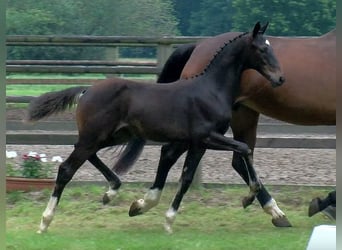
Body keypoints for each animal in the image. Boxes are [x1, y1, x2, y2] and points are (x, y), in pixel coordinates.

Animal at [111, 27, 336, 227]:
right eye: (262, 50)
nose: (280, 78)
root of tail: (197, 45)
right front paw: (325, 204)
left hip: (241, 117)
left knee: (207, 157)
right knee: (178, 154)